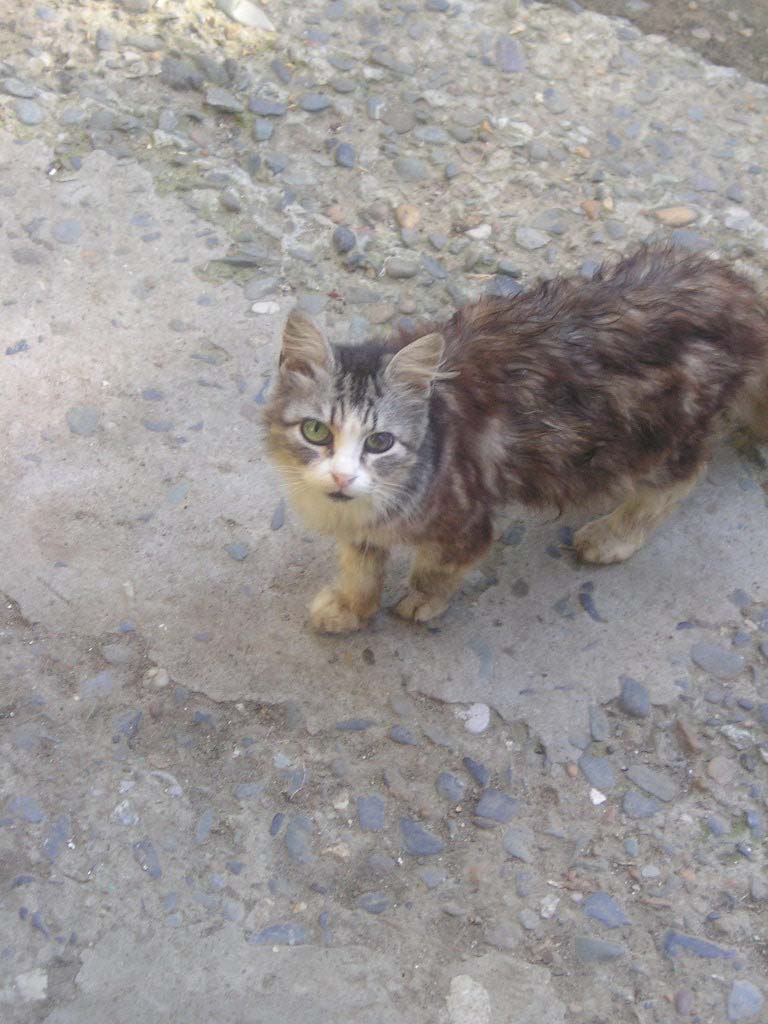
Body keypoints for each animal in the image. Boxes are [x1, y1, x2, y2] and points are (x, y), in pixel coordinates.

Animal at [264, 243, 768, 633]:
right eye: (316, 431)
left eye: (379, 442)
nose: (343, 477)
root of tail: (736, 291)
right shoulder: (362, 527)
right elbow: (361, 570)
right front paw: (350, 610)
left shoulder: (465, 522)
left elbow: (438, 569)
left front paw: (422, 601)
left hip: (658, 435)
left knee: (680, 479)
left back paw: (611, 536)